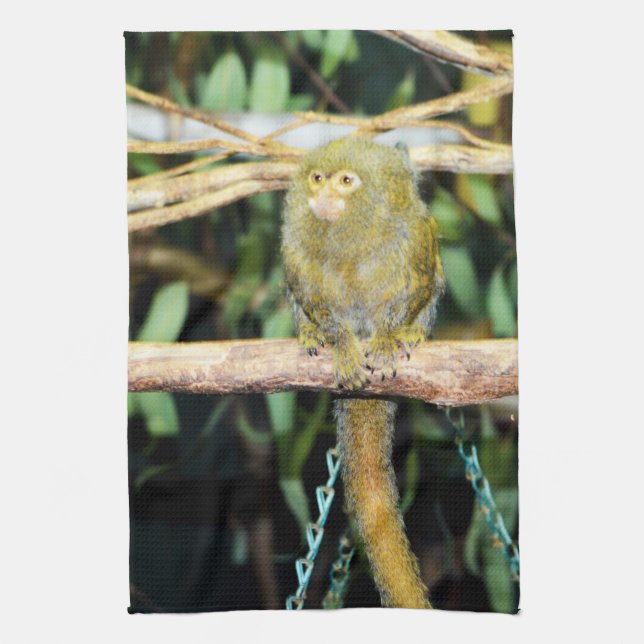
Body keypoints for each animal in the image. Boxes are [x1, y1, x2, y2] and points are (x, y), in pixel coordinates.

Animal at [281, 137, 444, 609]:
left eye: (346, 181)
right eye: (318, 177)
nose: (321, 194)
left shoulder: (416, 239)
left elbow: (417, 287)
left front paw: (391, 335)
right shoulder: (295, 251)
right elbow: (318, 305)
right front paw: (340, 343)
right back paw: (310, 335)